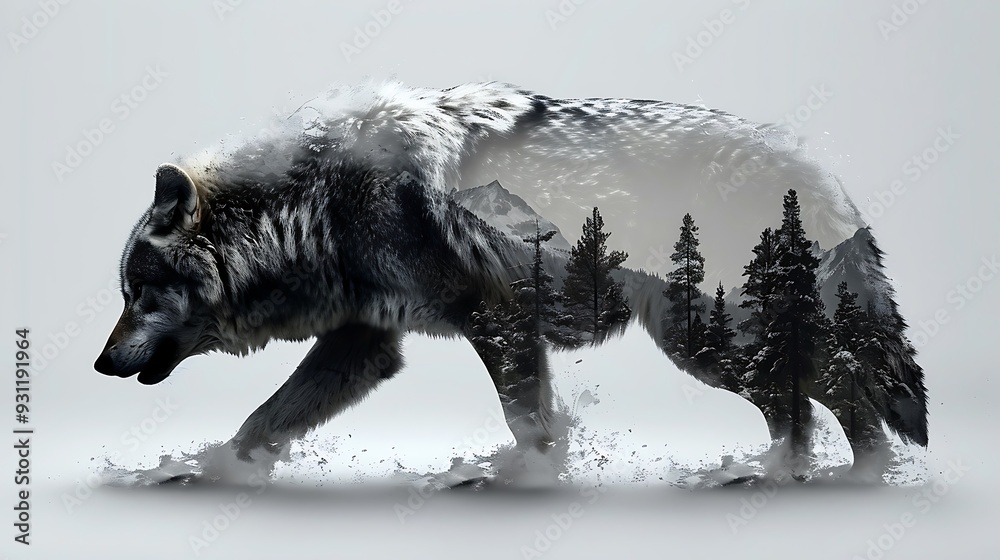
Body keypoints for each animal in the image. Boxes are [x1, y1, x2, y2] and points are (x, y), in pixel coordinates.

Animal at [94, 81, 927, 480]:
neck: (314, 203)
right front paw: (211, 473)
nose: (100, 364)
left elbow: (527, 420)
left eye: (138, 291)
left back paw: (825, 482)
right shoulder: (366, 343)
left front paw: (527, 480)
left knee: (832, 397)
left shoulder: (498, 322)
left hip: (710, 341)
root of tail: (812, 165)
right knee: (819, 405)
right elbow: (261, 422)